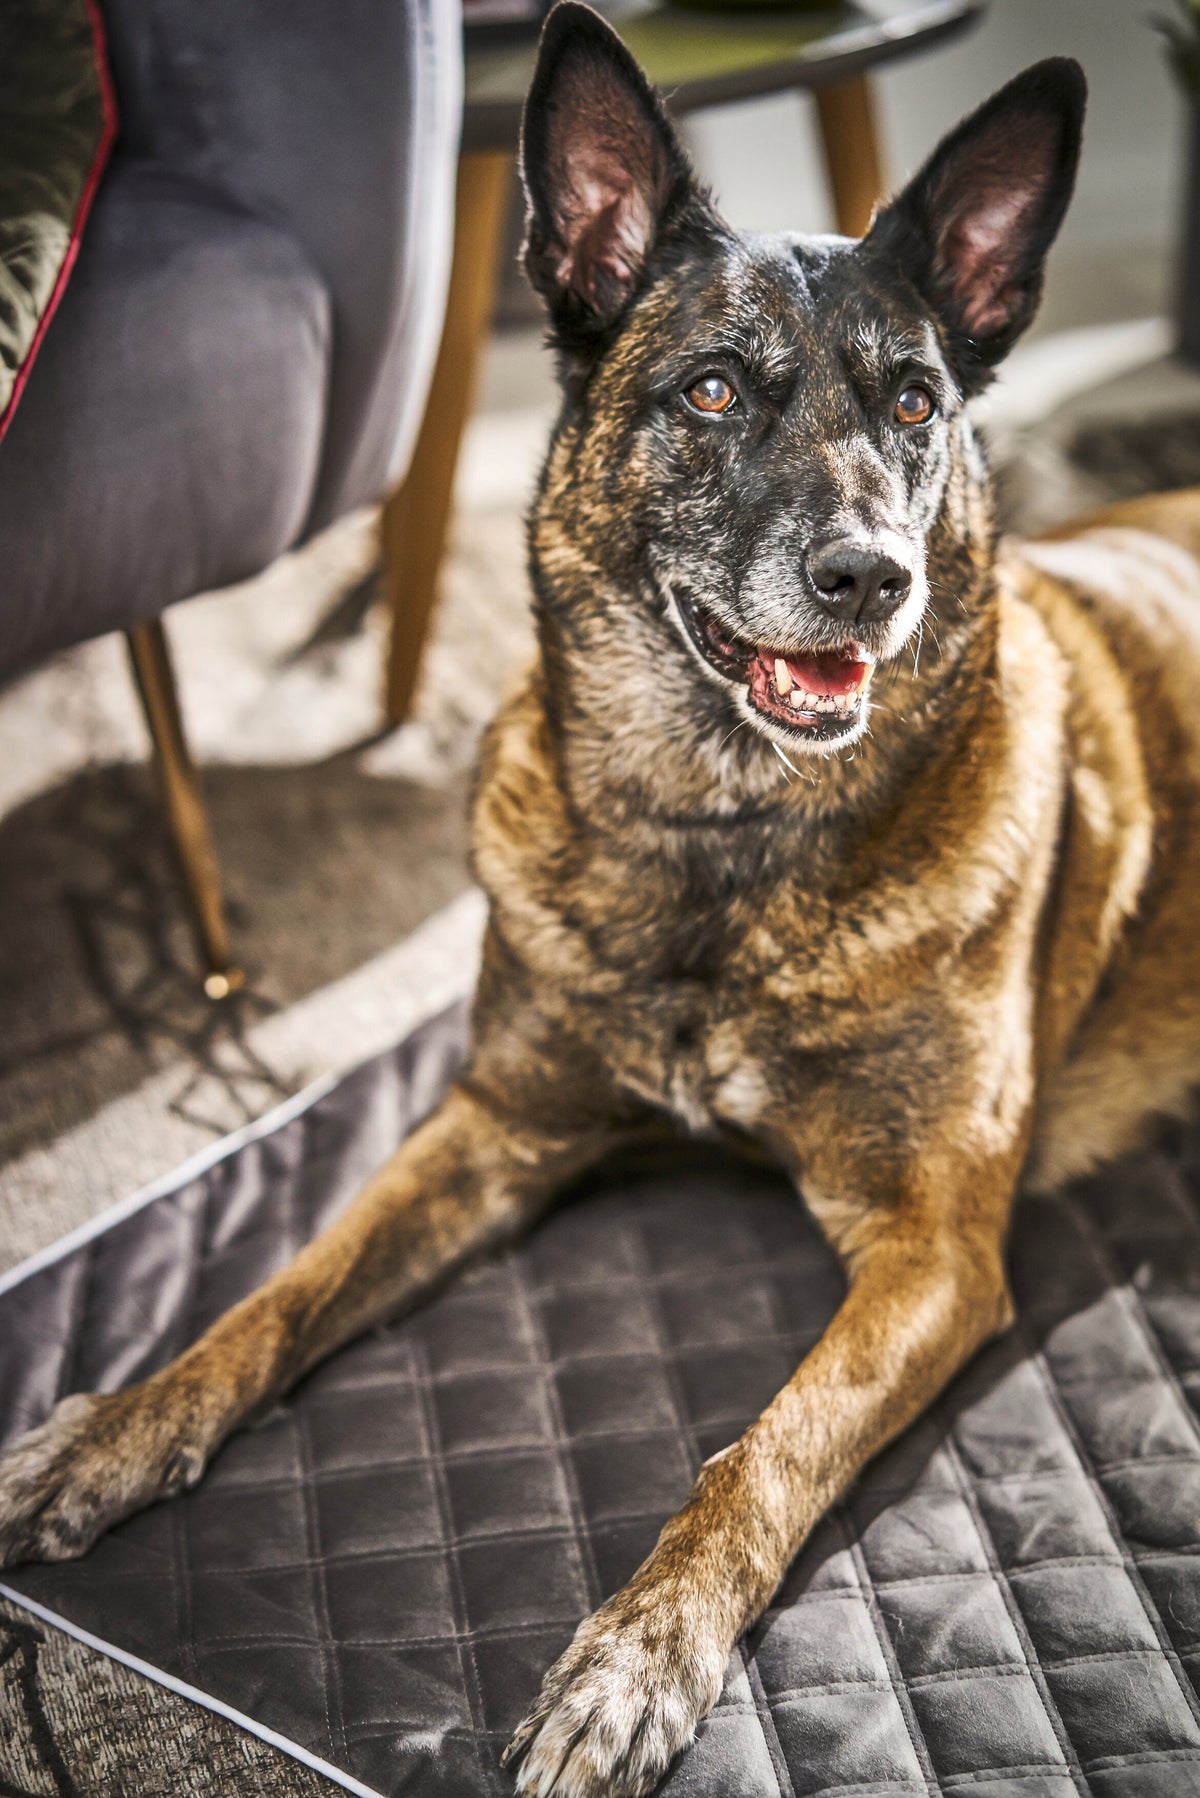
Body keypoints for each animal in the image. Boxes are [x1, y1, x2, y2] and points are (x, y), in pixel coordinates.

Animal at [7, 7, 1200, 1790]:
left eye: (916, 403)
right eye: (710, 389)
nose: (874, 579)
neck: (718, 844)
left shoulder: (932, 1248)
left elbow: (759, 1451)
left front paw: (639, 1656)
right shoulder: (498, 1124)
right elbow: (279, 1289)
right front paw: (109, 1430)